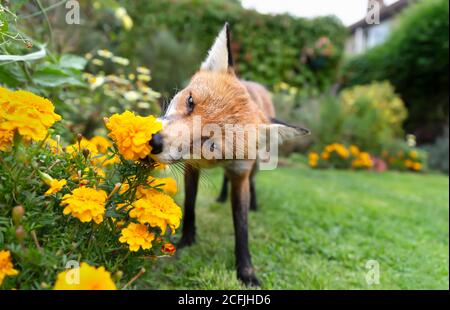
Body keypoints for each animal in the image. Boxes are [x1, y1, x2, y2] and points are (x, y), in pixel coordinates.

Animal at [151, 23, 310, 286]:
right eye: (190, 101)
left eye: (211, 143)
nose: (154, 142)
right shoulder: (192, 168)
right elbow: (190, 205)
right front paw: (186, 240)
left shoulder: (240, 174)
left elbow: (242, 226)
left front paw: (246, 271)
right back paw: (221, 197)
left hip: (256, 166)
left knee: (252, 183)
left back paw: (254, 203)